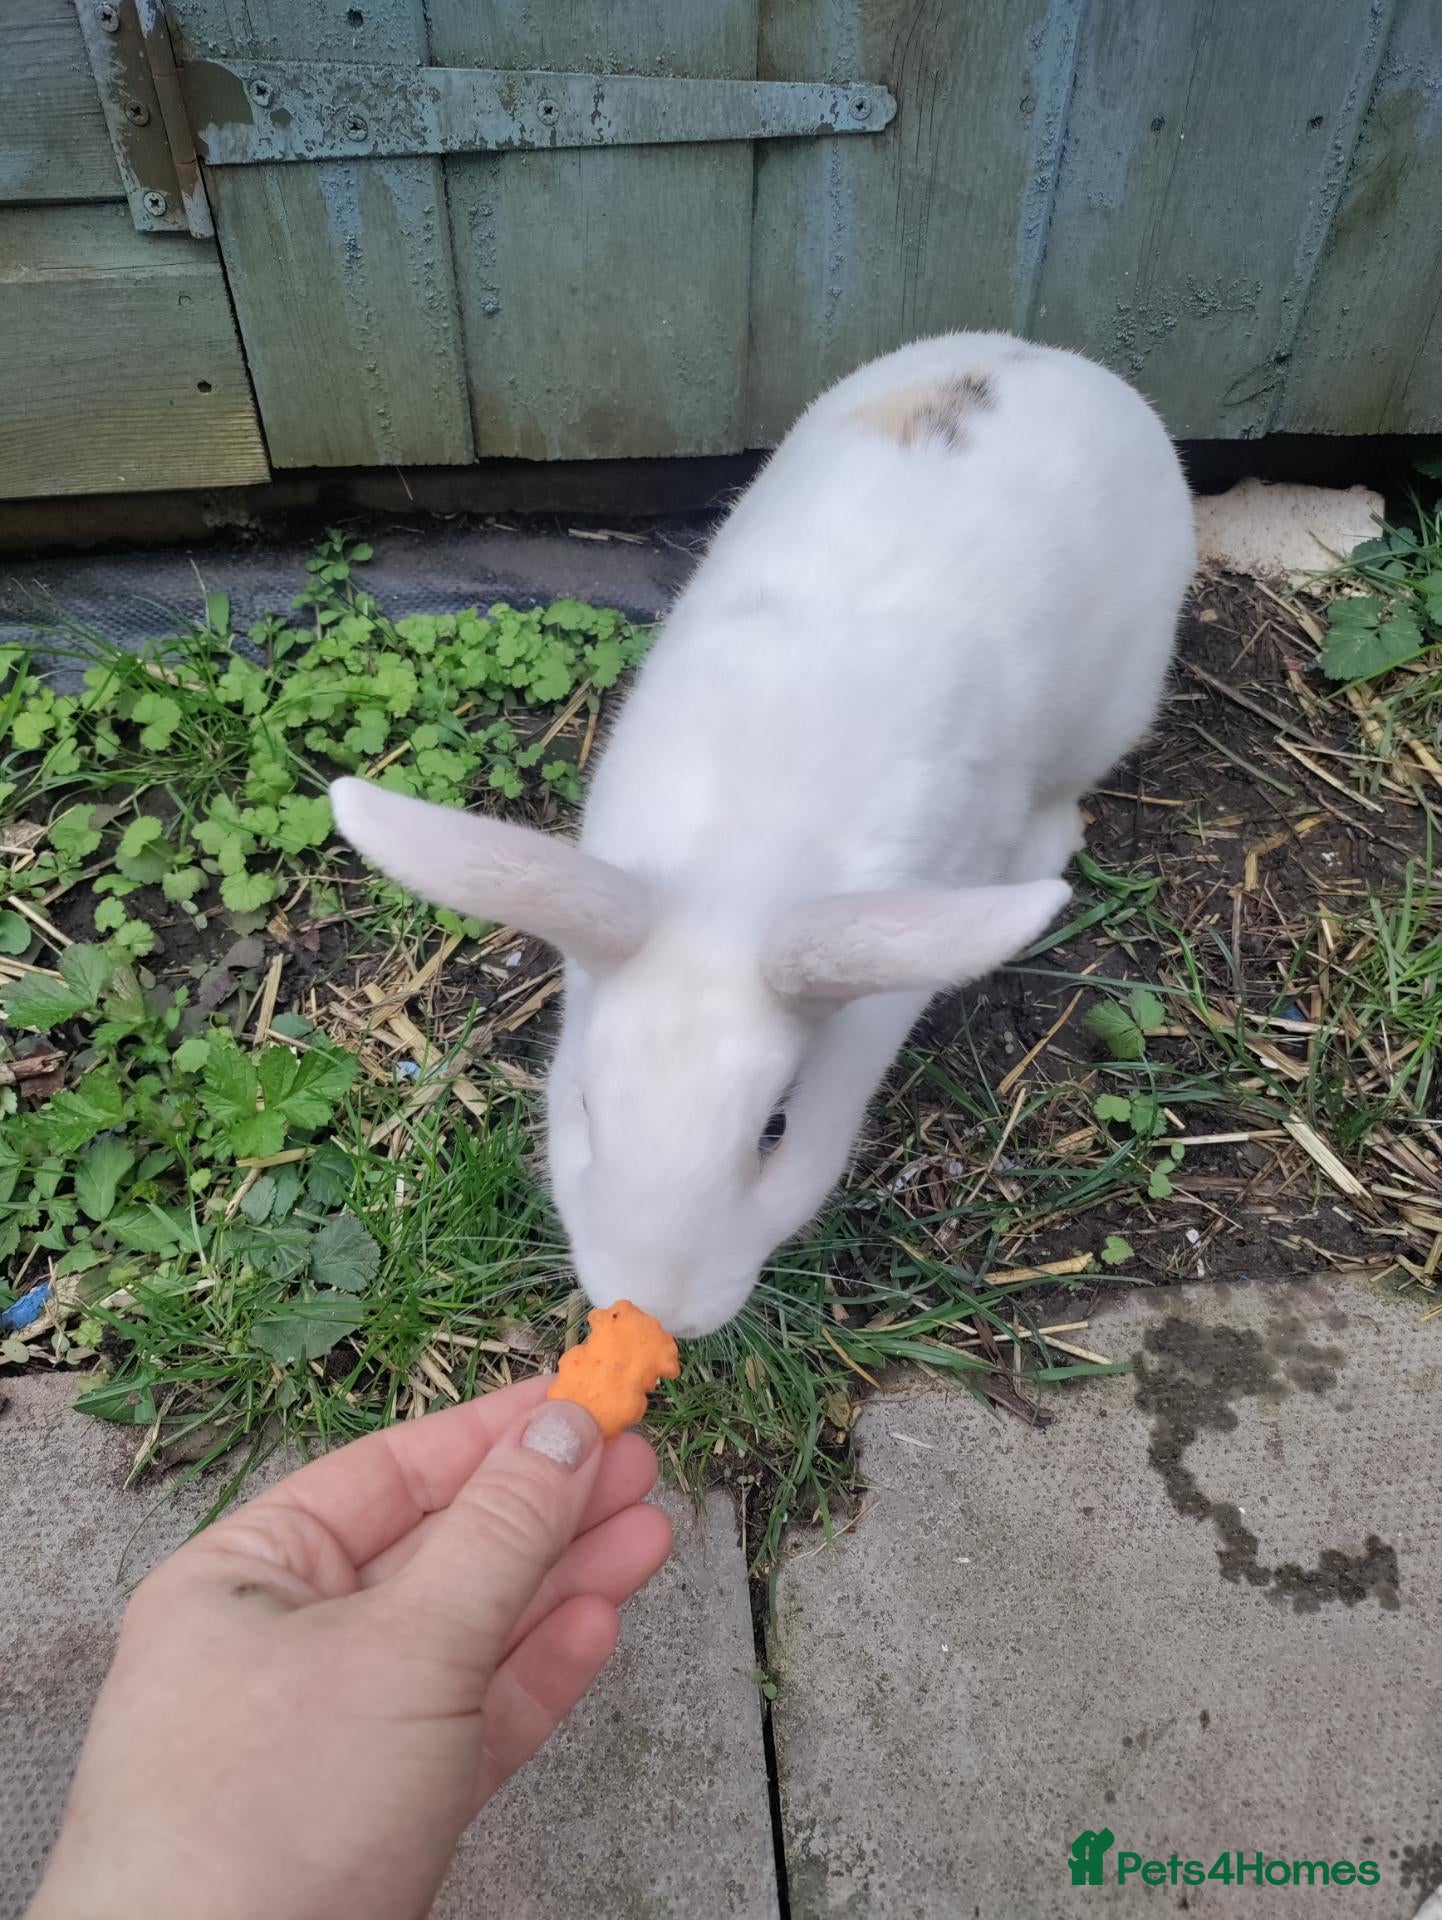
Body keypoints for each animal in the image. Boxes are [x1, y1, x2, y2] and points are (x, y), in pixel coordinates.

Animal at [331, 331, 1195, 1339]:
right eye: (583, 1104)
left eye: (777, 1130)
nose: (654, 1309)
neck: (736, 881)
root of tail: (1041, 355)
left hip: (1117, 699)